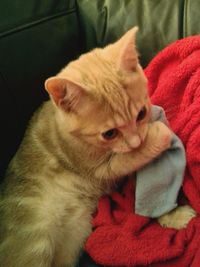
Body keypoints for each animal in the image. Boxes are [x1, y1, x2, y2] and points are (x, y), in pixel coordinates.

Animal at [0, 27, 195, 267]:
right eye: (109, 133)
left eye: (140, 114)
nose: (137, 141)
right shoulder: (101, 168)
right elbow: (132, 158)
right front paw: (158, 133)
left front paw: (174, 216)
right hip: (36, 242)